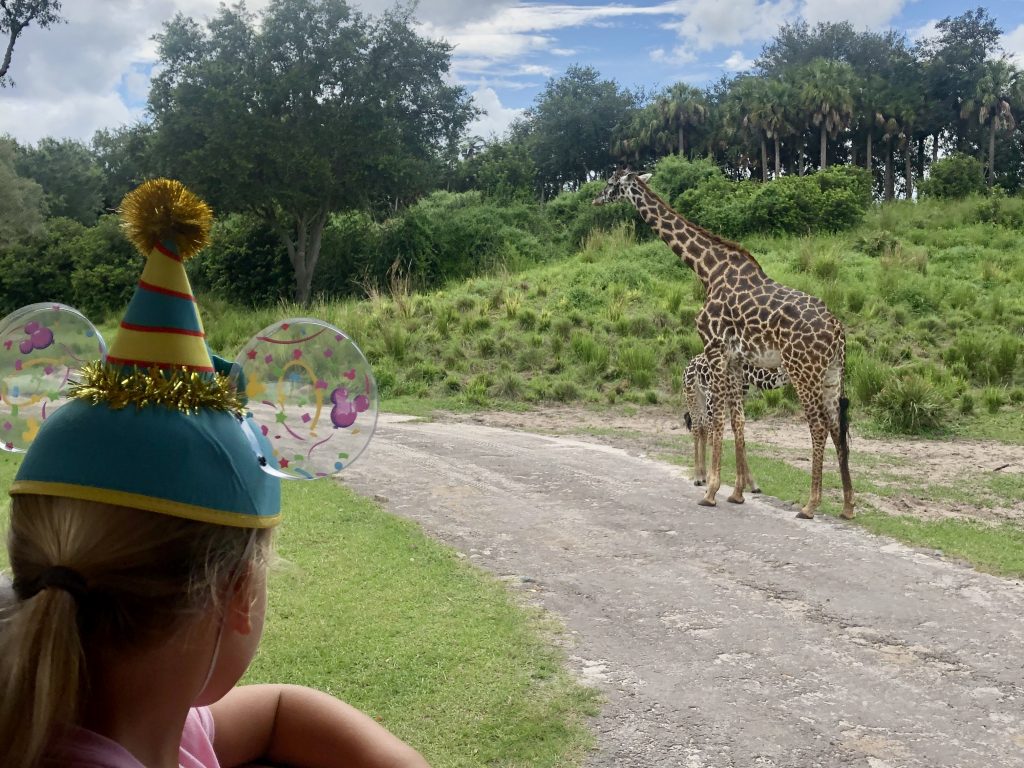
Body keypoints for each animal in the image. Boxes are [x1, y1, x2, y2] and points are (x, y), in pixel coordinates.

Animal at [688, 354, 790, 493]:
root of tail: (689, 364)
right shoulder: (712, 397)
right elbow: (714, 439)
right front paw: (711, 482)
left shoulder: (739, 399)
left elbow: (741, 439)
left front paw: (753, 484)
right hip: (692, 397)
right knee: (697, 429)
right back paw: (697, 477)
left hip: (703, 401)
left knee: (702, 428)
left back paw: (702, 476)